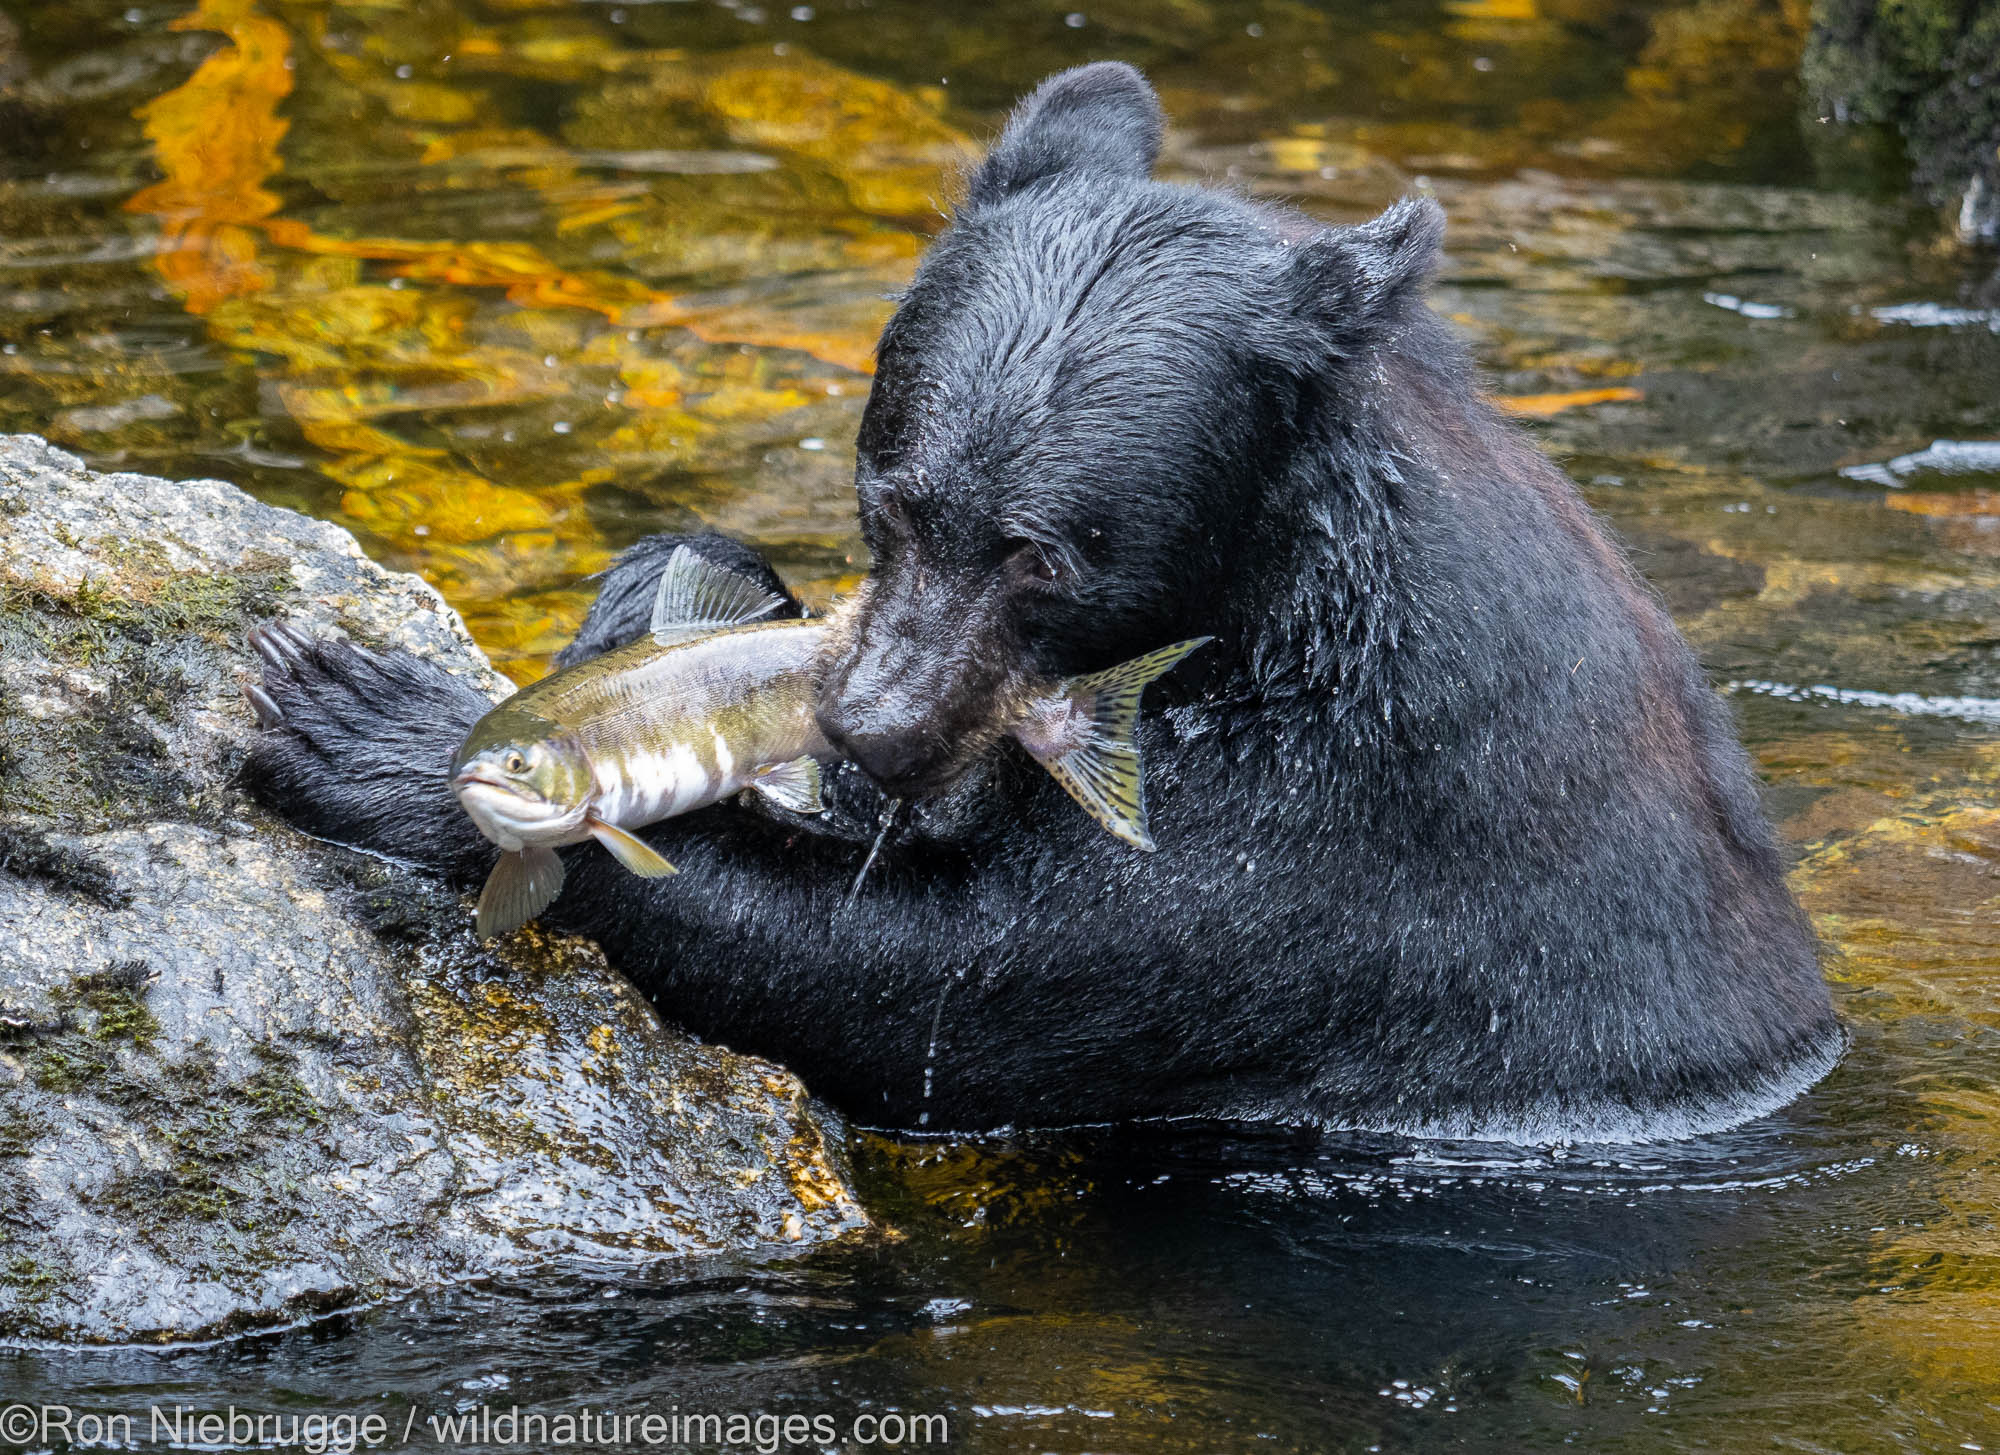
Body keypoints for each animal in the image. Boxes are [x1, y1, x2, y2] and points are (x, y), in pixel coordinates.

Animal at [242, 65, 1832, 1135]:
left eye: (1046, 555)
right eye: (886, 491)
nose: (871, 729)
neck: (1274, 593)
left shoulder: (1357, 816)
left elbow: (940, 981)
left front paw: (363, 719)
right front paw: (668, 586)